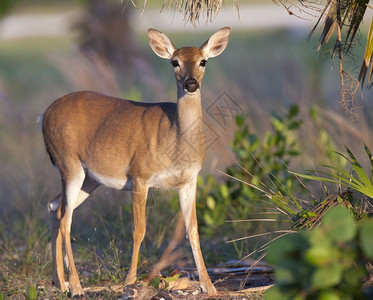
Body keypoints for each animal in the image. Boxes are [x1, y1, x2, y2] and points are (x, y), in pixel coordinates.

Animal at [42, 26, 231, 298]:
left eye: (203, 61)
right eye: (174, 62)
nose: (191, 84)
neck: (175, 136)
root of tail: (43, 115)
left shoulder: (189, 180)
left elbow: (193, 230)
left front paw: (209, 286)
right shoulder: (140, 175)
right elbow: (138, 230)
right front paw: (130, 281)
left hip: (89, 179)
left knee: (55, 207)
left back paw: (60, 282)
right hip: (69, 163)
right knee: (66, 218)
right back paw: (76, 286)